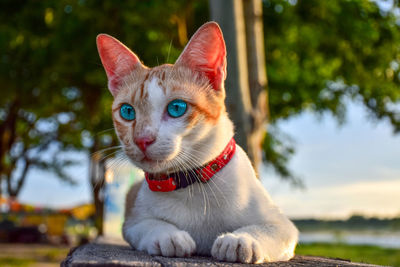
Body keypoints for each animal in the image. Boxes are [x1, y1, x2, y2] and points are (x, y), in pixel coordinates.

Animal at [96, 22, 296, 264]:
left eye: (176, 108)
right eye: (127, 112)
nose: (142, 139)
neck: (191, 183)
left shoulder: (283, 225)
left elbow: (266, 229)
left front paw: (240, 240)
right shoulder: (133, 222)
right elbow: (148, 225)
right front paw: (168, 236)